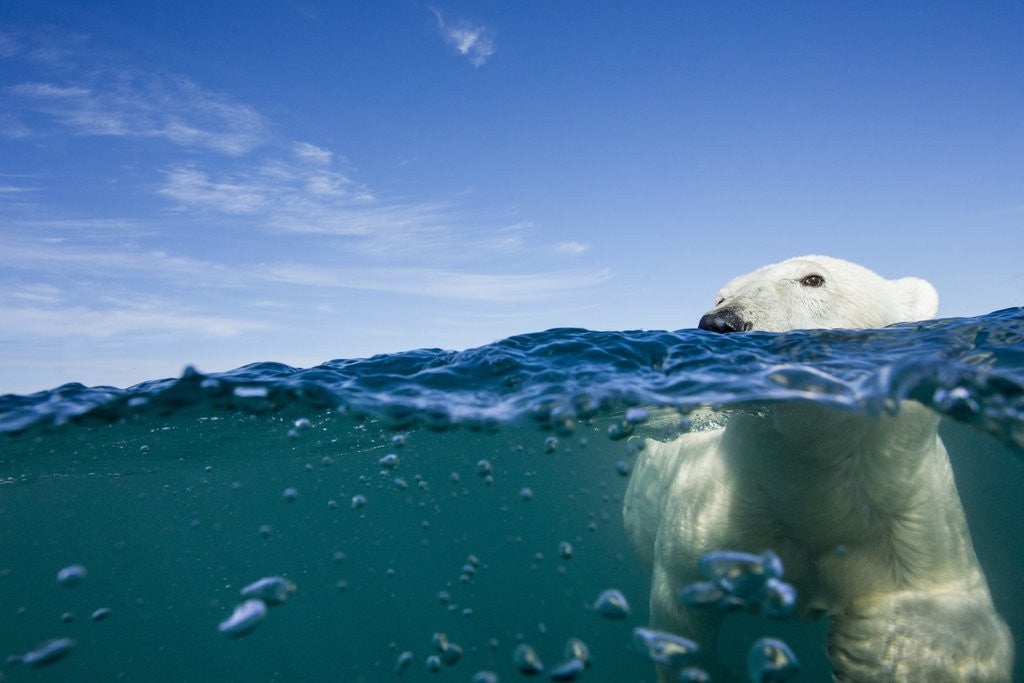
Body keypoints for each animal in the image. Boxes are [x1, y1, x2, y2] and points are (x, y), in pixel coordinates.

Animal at [623, 255, 1013, 681]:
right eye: (721, 296)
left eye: (813, 279)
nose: (720, 323)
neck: (813, 487)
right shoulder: (725, 510)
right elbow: (679, 607)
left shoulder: (909, 511)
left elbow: (966, 602)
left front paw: (876, 640)